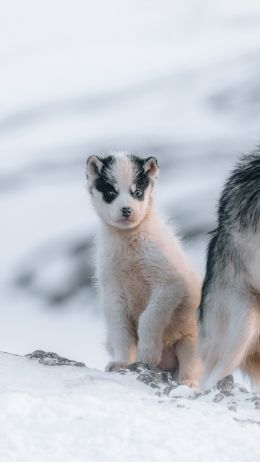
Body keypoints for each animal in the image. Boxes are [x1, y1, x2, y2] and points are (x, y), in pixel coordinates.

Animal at [87, 152, 201, 386]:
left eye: (137, 192)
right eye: (111, 192)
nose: (126, 210)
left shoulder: (169, 283)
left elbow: (149, 318)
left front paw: (147, 356)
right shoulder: (112, 289)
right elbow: (121, 330)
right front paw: (122, 363)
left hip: (191, 340)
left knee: (191, 366)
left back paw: (187, 383)